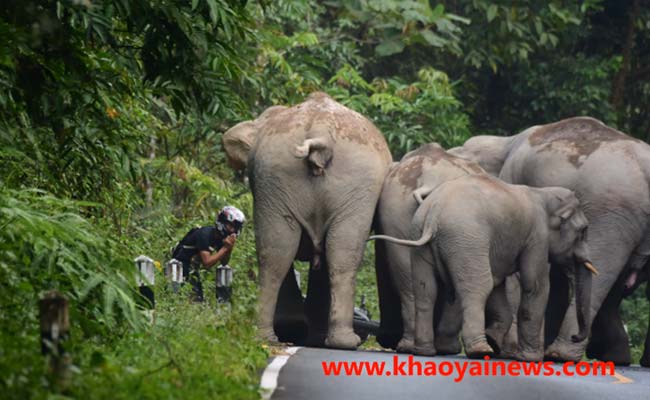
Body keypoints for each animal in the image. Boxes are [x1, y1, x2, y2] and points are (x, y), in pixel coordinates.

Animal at [368, 173, 596, 360]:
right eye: (584, 230)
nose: (575, 337)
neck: (542, 193)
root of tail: (434, 212)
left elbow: (498, 284)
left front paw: (496, 341)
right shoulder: (537, 237)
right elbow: (535, 286)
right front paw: (530, 358)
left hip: (419, 237)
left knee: (426, 291)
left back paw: (425, 351)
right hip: (466, 239)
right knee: (478, 287)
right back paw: (479, 350)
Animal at [448, 115, 648, 362]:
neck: (504, 142)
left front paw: (505, 349)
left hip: (611, 212)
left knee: (602, 272)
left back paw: (560, 354)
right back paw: (613, 358)